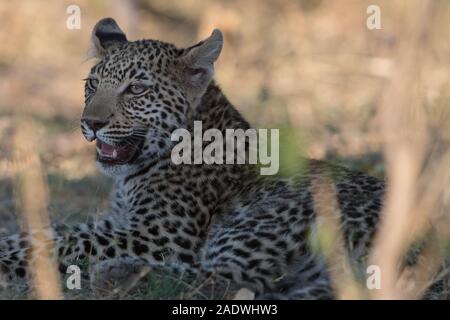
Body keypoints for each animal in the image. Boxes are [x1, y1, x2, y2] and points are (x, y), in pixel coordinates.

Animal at [0, 16, 386, 298]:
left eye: (136, 89)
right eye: (92, 84)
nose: (90, 123)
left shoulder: (160, 234)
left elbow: (66, 243)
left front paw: (6, 262)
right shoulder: (118, 220)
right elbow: (47, 233)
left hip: (260, 220)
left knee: (227, 282)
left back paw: (114, 273)